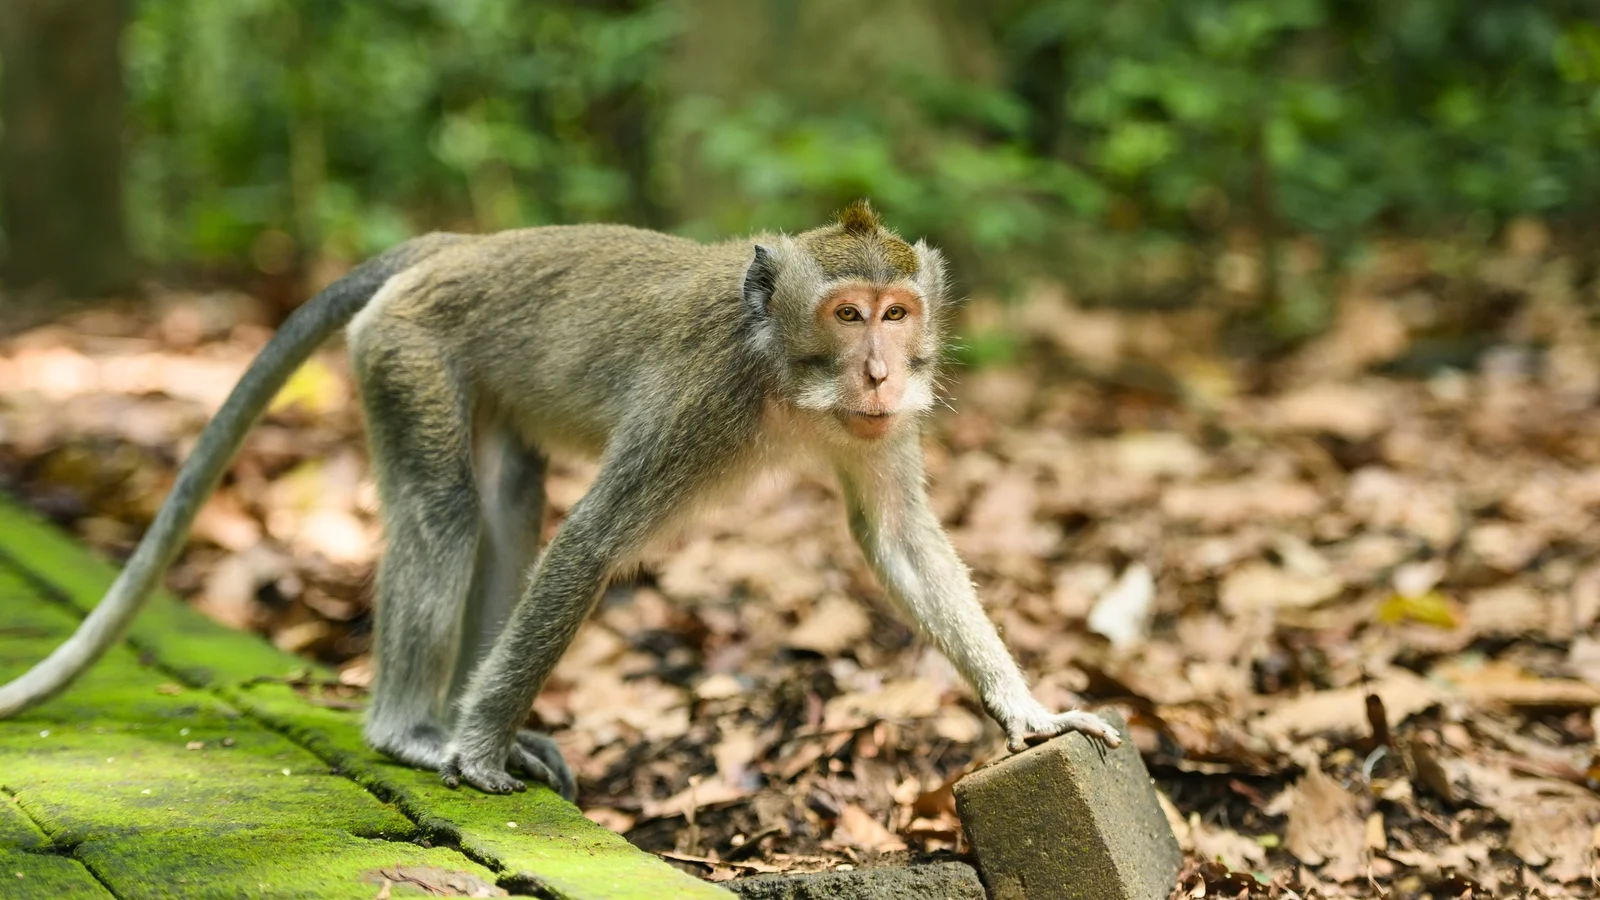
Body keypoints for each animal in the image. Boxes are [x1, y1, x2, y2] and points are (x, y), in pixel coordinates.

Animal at [0, 201, 1120, 797]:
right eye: (849, 316)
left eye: (899, 313)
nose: (885, 373)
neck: (779, 372)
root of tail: (455, 243)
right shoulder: (698, 405)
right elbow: (590, 545)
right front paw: (477, 747)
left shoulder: (871, 431)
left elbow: (896, 539)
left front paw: (1028, 711)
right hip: (405, 351)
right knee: (447, 513)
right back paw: (416, 728)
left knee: (506, 505)